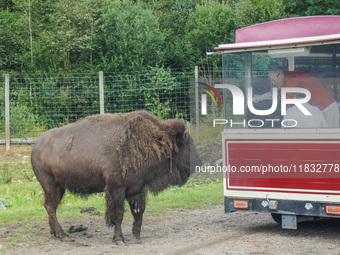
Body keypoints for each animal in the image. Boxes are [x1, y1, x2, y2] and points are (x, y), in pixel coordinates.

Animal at [30, 110, 201, 244]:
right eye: (189, 143)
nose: (198, 163)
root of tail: (36, 146)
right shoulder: (117, 189)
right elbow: (119, 214)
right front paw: (120, 239)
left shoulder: (137, 189)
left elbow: (138, 212)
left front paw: (136, 235)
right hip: (51, 186)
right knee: (50, 207)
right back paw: (63, 235)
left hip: (58, 188)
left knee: (50, 206)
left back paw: (55, 233)